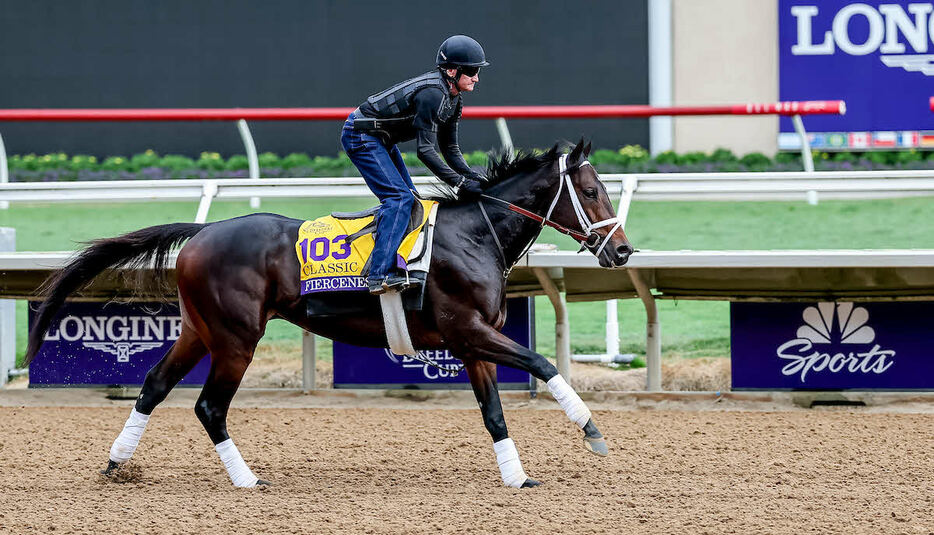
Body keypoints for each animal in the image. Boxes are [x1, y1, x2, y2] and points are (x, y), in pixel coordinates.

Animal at [23, 141, 636, 490]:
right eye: (590, 189)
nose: (624, 251)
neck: (473, 234)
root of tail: (202, 232)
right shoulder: (470, 330)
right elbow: (542, 363)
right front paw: (592, 431)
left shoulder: (470, 341)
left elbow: (494, 413)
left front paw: (517, 478)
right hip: (236, 337)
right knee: (209, 405)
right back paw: (246, 480)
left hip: (199, 330)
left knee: (153, 385)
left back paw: (116, 464)